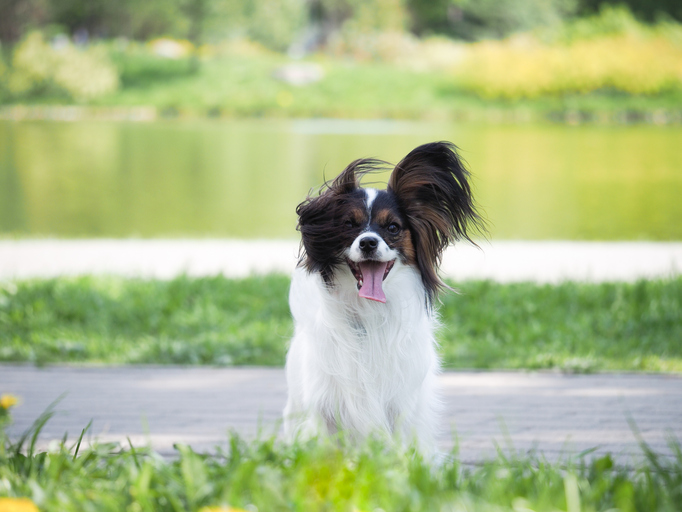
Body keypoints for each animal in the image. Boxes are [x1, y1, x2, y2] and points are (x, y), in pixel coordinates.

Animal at [278, 140, 480, 452]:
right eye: (349, 225)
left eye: (393, 228)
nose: (369, 242)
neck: (370, 313)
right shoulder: (326, 405)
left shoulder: (400, 405)